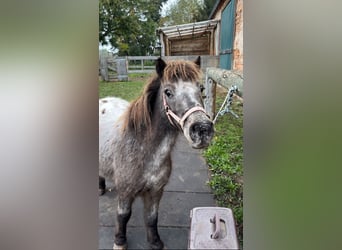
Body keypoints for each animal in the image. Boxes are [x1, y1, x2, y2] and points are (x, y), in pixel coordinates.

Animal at [97, 57, 214, 249]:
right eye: (168, 92)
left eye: (201, 88)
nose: (203, 130)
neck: (143, 150)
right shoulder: (125, 191)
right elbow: (123, 215)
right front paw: (120, 242)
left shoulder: (156, 191)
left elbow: (152, 218)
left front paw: (155, 242)